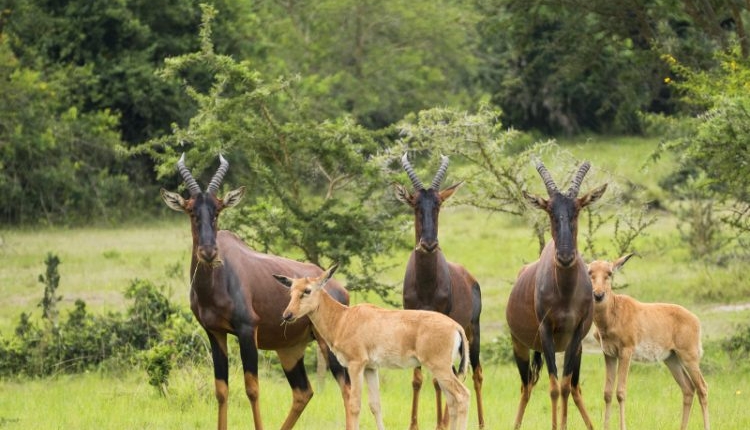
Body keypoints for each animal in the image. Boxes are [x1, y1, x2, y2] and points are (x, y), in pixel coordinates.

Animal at [161, 153, 350, 428]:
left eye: (217, 210)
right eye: (191, 211)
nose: (209, 252)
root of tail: (338, 289)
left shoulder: (247, 330)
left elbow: (252, 389)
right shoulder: (214, 332)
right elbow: (221, 390)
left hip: (328, 343)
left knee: (347, 386)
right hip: (290, 349)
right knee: (303, 392)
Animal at [276, 264, 470, 430]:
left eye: (307, 290)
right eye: (291, 291)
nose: (287, 315)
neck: (343, 318)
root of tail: (456, 327)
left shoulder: (356, 365)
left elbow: (354, 405)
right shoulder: (371, 368)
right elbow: (375, 405)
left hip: (440, 368)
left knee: (463, 396)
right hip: (442, 370)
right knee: (452, 401)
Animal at [396, 153, 484, 428]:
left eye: (438, 205)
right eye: (415, 204)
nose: (428, 244)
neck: (426, 284)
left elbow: (437, 381)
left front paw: (440, 424)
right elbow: (417, 378)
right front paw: (413, 424)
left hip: (472, 331)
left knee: (475, 374)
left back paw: (480, 423)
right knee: (454, 374)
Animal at [506, 160, 612, 430]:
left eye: (577, 210)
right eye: (550, 211)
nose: (565, 256)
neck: (565, 292)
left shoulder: (576, 334)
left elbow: (564, 386)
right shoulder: (546, 332)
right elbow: (553, 387)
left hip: (576, 349)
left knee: (573, 388)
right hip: (520, 344)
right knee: (526, 387)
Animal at [592, 254, 712, 430]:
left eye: (609, 273)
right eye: (590, 272)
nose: (598, 295)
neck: (613, 313)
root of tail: (695, 319)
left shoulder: (626, 352)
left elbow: (620, 392)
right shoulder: (609, 354)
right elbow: (607, 393)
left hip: (689, 358)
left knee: (702, 388)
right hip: (672, 359)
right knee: (688, 389)